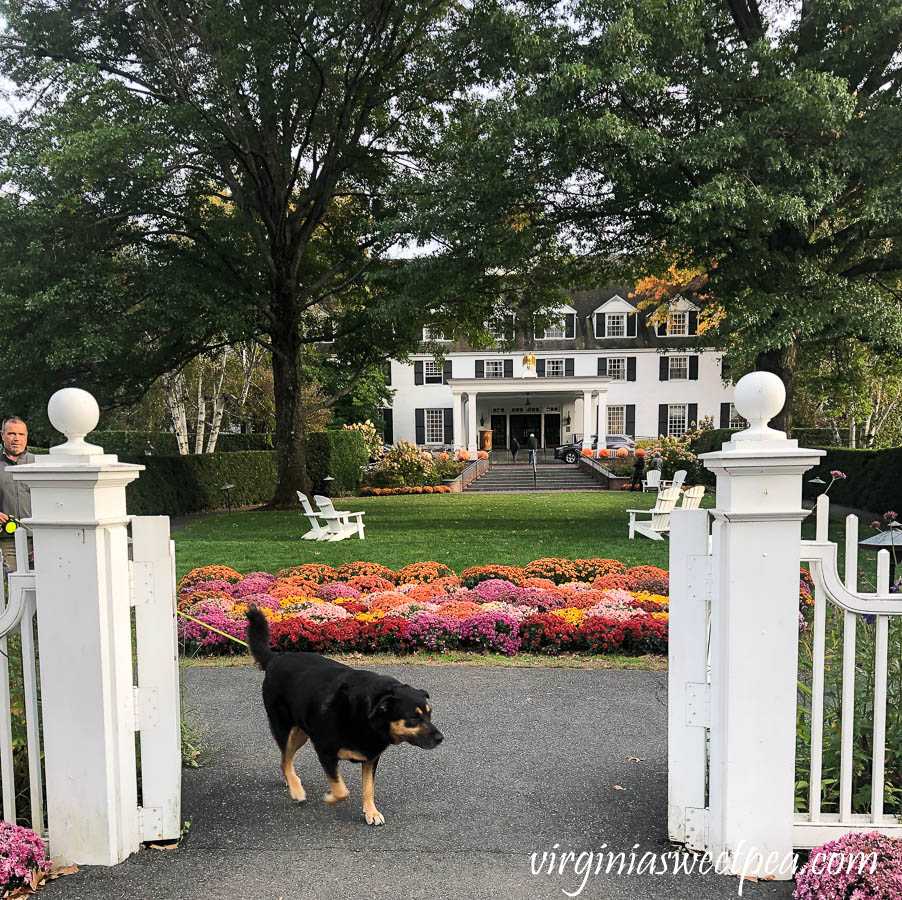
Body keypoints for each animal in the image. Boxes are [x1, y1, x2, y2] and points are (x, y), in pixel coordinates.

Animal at [247, 608, 444, 828]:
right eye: (413, 718)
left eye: (429, 714)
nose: (440, 738)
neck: (366, 717)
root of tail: (276, 657)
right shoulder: (325, 752)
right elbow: (341, 790)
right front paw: (330, 798)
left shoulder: (371, 756)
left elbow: (368, 788)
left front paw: (371, 812)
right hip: (283, 727)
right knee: (285, 759)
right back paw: (296, 790)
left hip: (302, 733)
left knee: (285, 760)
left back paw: (291, 782)